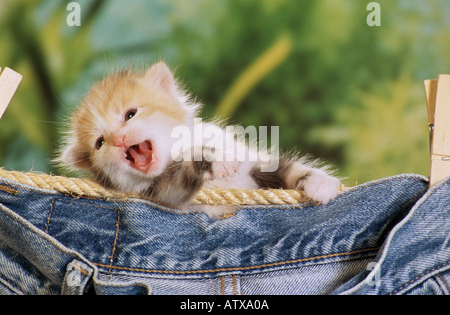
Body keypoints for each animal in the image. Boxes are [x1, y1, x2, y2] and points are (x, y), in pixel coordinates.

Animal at [56, 62, 340, 220]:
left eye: (130, 114)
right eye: (100, 143)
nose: (119, 138)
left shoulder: (251, 162)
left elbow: (285, 168)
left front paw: (319, 182)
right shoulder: (163, 194)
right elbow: (185, 175)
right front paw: (214, 160)